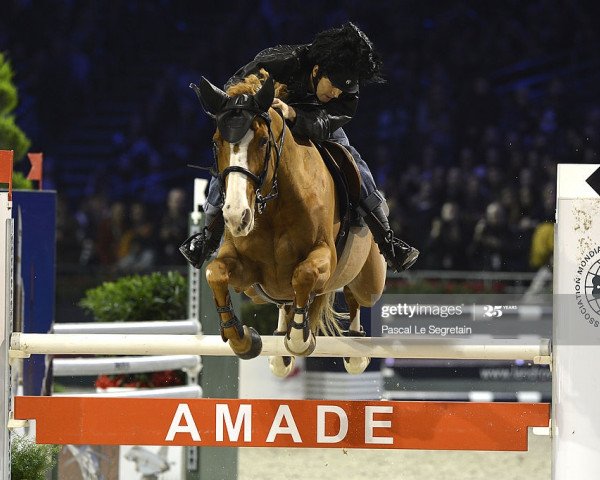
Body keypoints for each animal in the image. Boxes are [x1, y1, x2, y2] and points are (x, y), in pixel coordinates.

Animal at [195, 73, 386, 376]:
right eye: (217, 142)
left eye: (263, 141)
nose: (237, 216)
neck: (274, 206)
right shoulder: (246, 271)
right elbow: (216, 273)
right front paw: (244, 341)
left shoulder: (324, 255)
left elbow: (304, 275)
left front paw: (299, 339)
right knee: (285, 305)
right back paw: (279, 356)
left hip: (370, 282)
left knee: (356, 296)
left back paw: (355, 353)